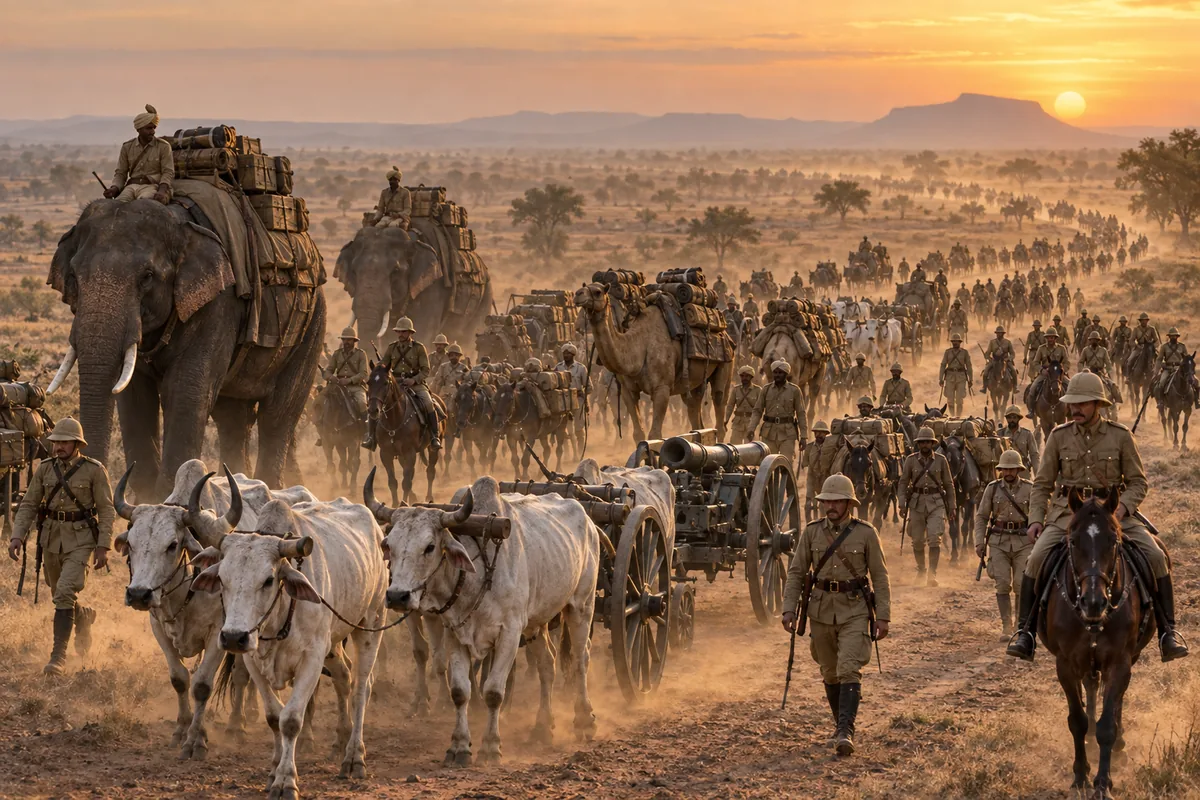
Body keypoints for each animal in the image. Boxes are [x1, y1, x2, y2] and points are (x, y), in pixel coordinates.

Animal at [366, 362, 442, 504]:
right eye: (369, 382)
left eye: (385, 383)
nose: (373, 410)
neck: (394, 420)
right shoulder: (385, 454)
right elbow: (393, 482)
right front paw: (395, 504)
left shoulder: (410, 453)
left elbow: (406, 482)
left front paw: (403, 503)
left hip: (432, 448)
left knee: (430, 471)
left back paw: (429, 497)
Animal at [1041, 490, 1156, 799]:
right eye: (1072, 540)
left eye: (1113, 540)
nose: (1093, 602)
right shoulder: (1065, 665)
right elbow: (1077, 720)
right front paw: (1080, 775)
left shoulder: (1120, 662)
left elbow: (1108, 724)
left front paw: (1103, 782)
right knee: (1092, 688)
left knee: (1115, 702)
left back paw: (1119, 743)